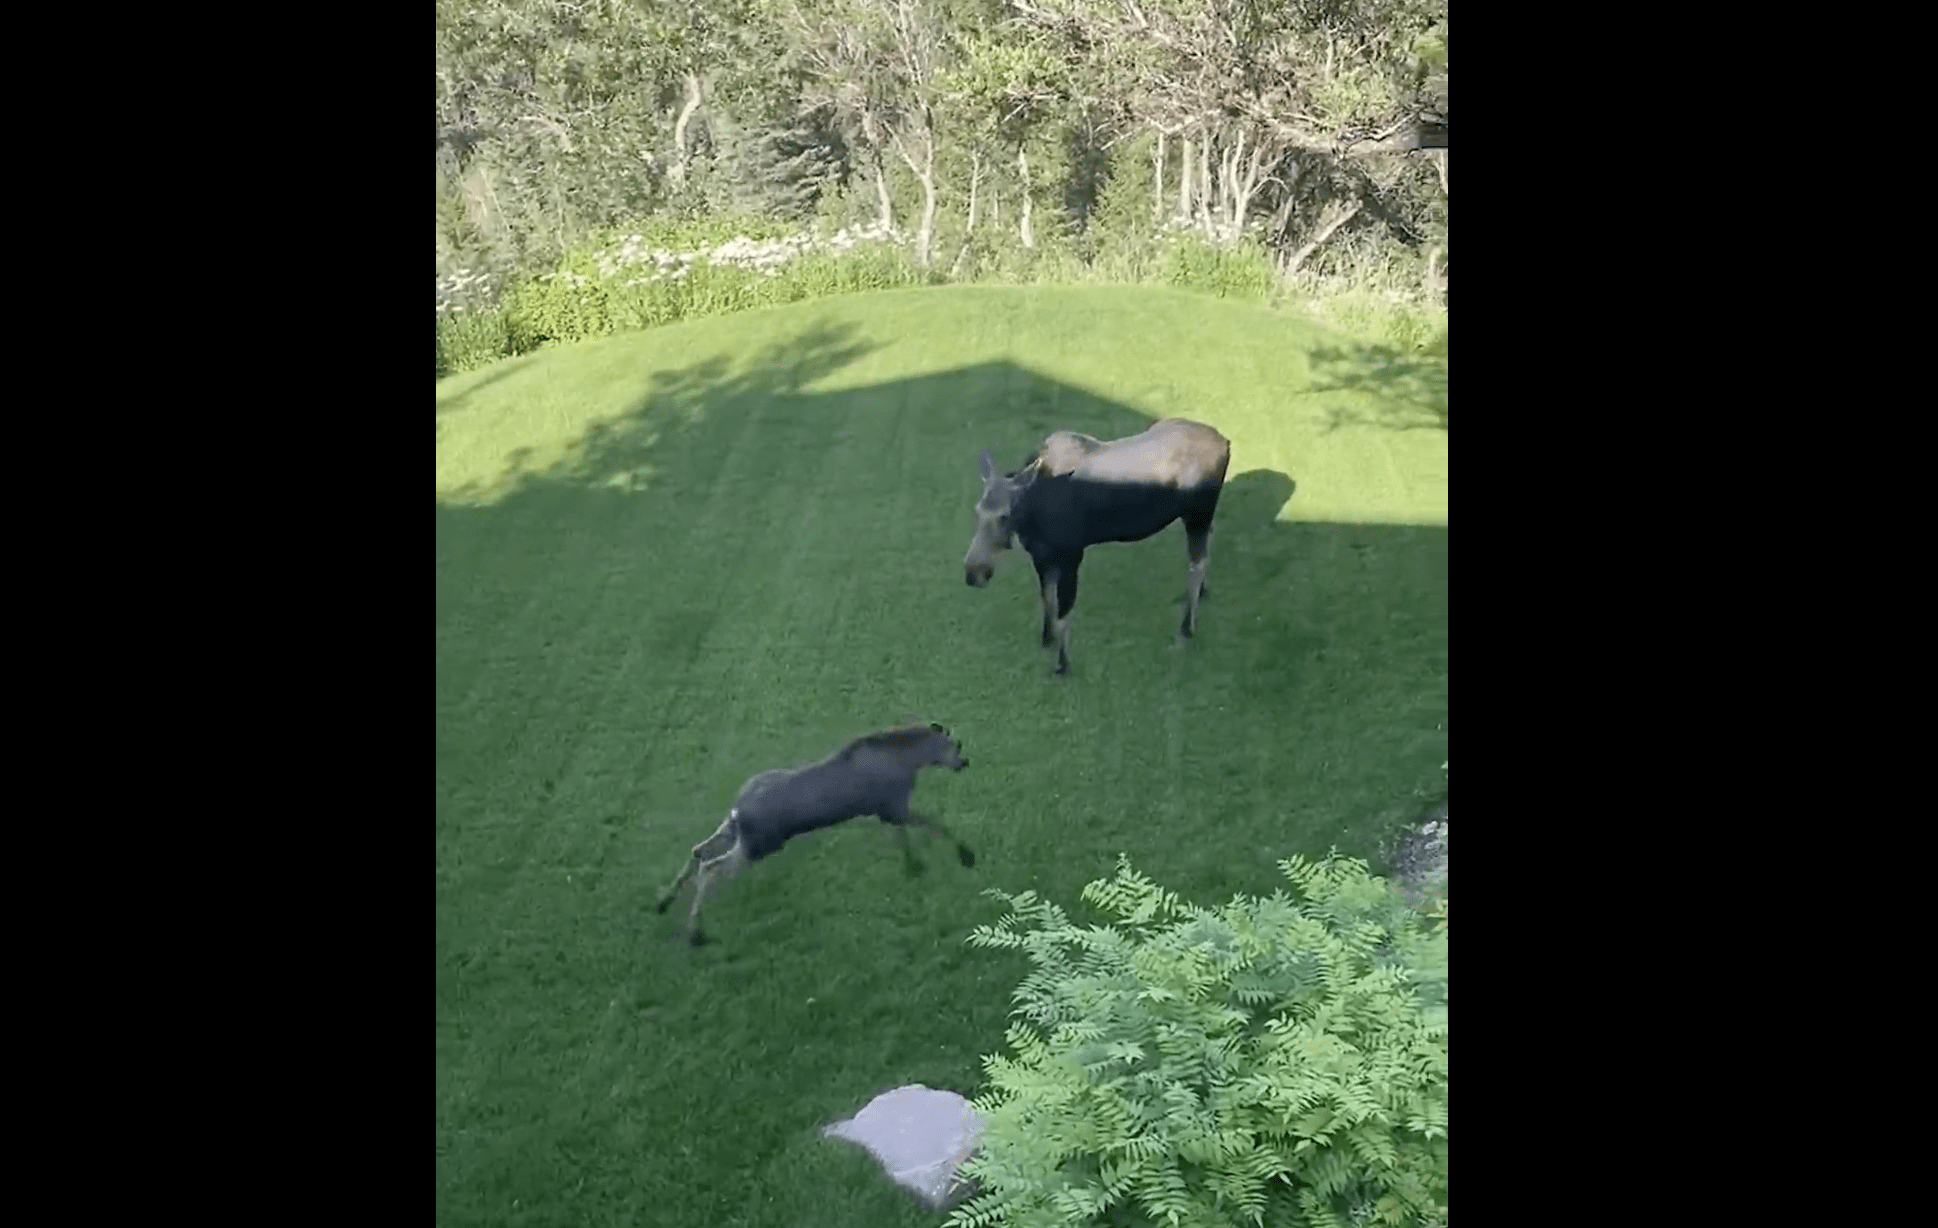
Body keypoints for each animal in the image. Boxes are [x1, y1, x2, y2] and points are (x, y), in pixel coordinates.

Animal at [965, 416, 1232, 674]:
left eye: (1005, 516)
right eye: (977, 511)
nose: (973, 573)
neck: (1032, 515)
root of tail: (1226, 443)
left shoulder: (1072, 556)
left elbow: (1064, 613)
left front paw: (1063, 664)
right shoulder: (1041, 556)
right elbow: (1047, 599)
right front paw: (1046, 639)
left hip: (1199, 513)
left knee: (1197, 564)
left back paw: (1186, 629)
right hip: (1199, 517)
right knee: (1206, 549)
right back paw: (1202, 594)